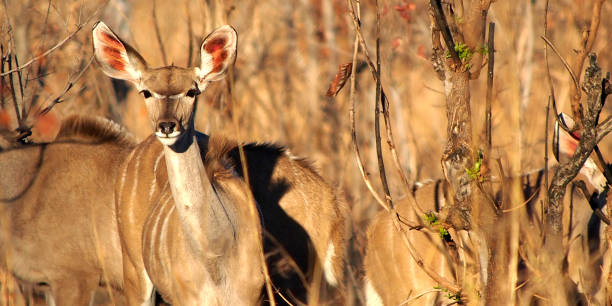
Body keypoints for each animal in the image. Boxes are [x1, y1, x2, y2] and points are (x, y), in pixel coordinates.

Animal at [92, 20, 346, 304]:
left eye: (192, 91)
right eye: (146, 92)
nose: (167, 126)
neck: (214, 252)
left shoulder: (248, 295)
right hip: (135, 274)